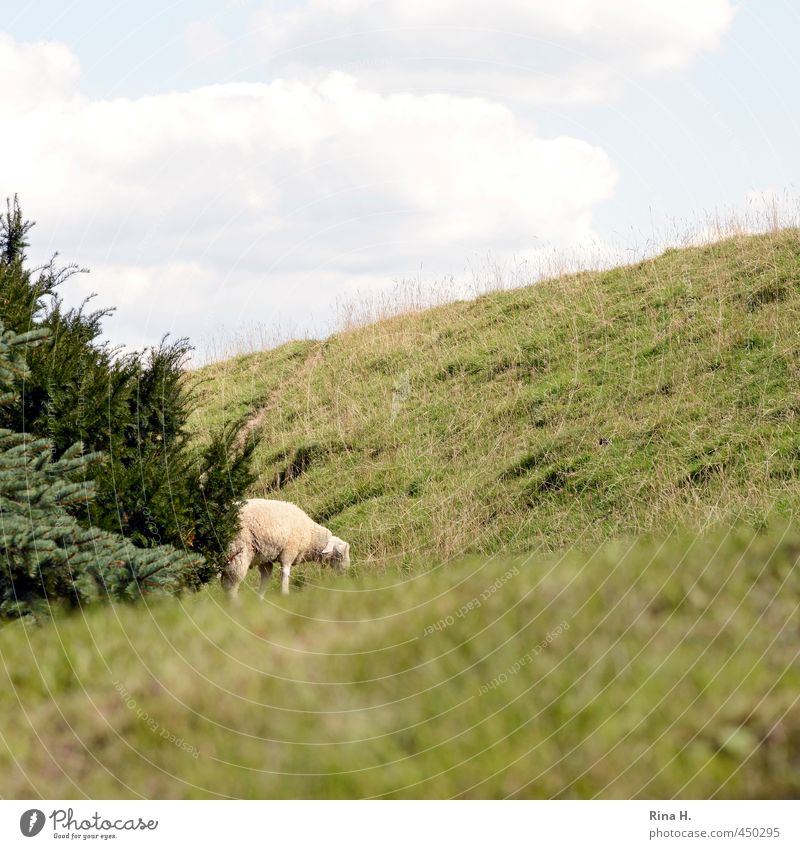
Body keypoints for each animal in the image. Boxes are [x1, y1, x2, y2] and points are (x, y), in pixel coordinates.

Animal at [223, 496, 352, 596]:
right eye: (340, 554)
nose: (346, 572)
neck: (311, 538)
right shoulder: (289, 551)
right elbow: (285, 573)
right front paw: (285, 594)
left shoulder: (266, 557)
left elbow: (265, 579)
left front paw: (260, 599)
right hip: (237, 553)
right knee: (231, 586)